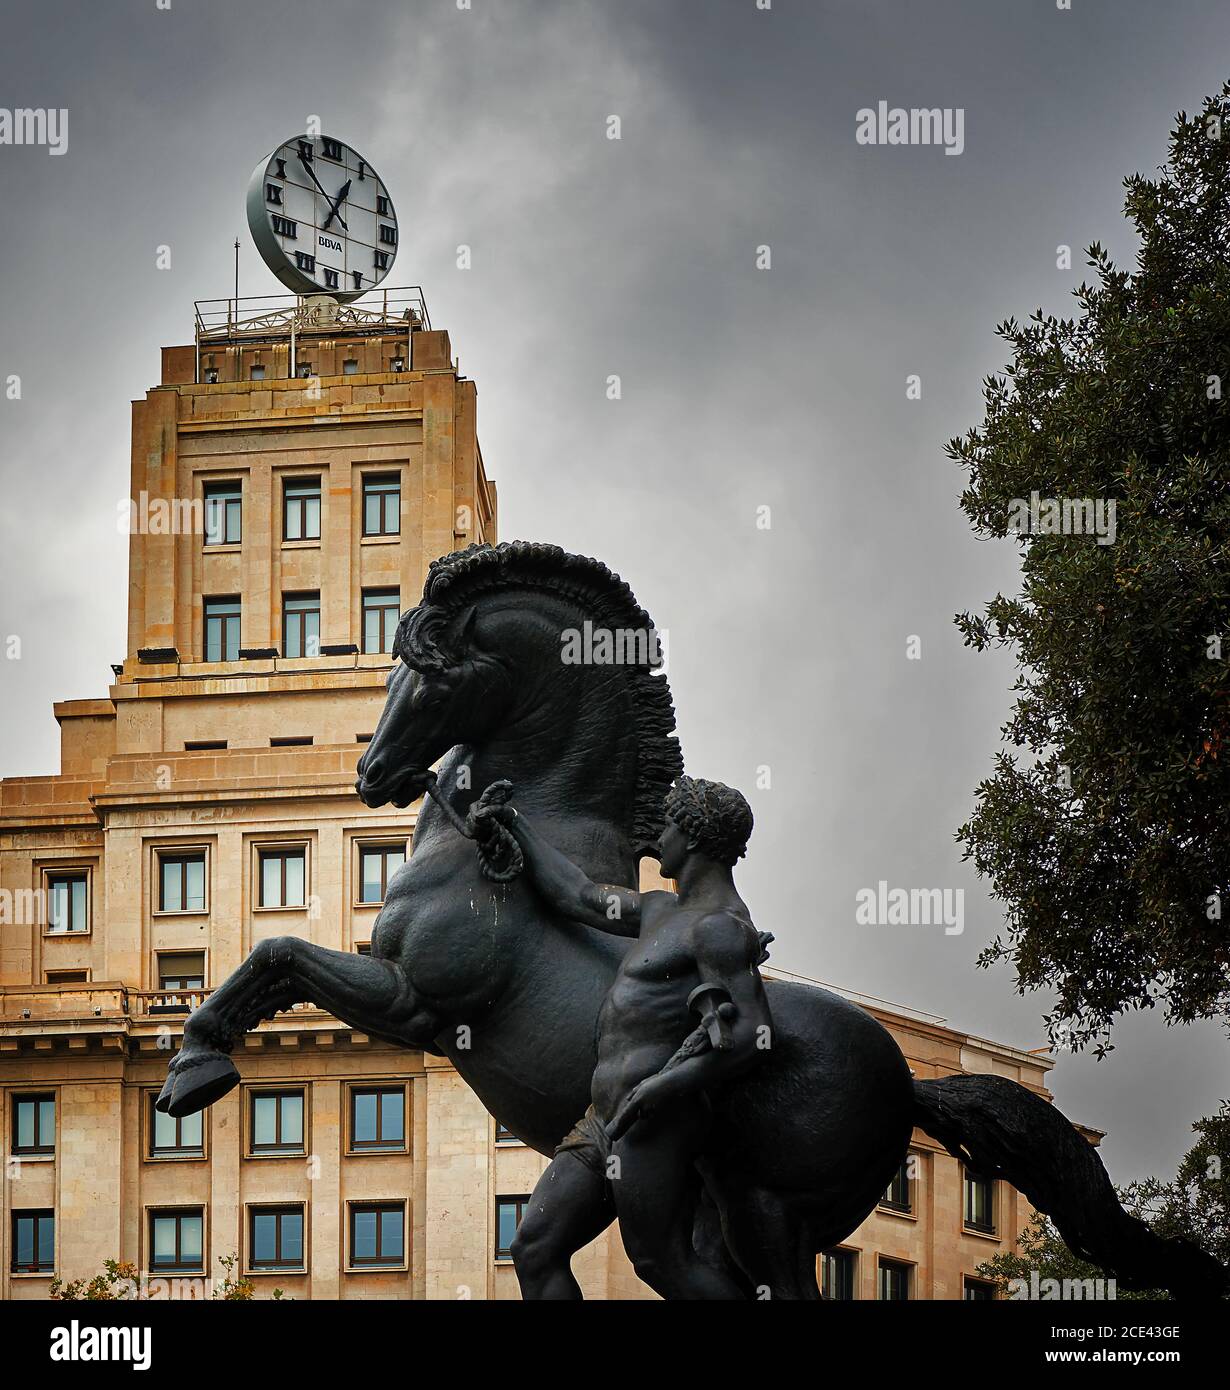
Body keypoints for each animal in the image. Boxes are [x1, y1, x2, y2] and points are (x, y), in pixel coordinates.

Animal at [158, 536, 1223, 1295]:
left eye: (436, 670)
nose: (373, 773)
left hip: (771, 1215)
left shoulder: (418, 1001)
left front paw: (194, 1067)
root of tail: (909, 1086)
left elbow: (278, 953)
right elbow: (276, 957)